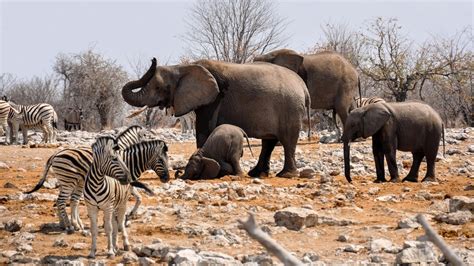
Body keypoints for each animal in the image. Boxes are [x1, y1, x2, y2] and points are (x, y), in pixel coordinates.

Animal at [24, 131, 168, 233]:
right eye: (161, 160)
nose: (167, 178)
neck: (130, 161)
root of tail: (56, 154)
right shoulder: (123, 184)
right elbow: (132, 199)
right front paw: (117, 221)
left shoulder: (128, 183)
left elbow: (138, 198)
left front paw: (128, 216)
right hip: (69, 181)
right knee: (62, 201)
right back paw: (70, 226)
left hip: (69, 181)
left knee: (67, 200)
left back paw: (66, 224)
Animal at [121, 57, 312, 178]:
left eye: (159, 87)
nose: (153, 60)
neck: (183, 67)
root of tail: (303, 87)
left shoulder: (214, 98)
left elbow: (204, 130)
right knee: (269, 142)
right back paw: (257, 174)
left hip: (290, 108)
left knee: (287, 140)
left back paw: (286, 175)